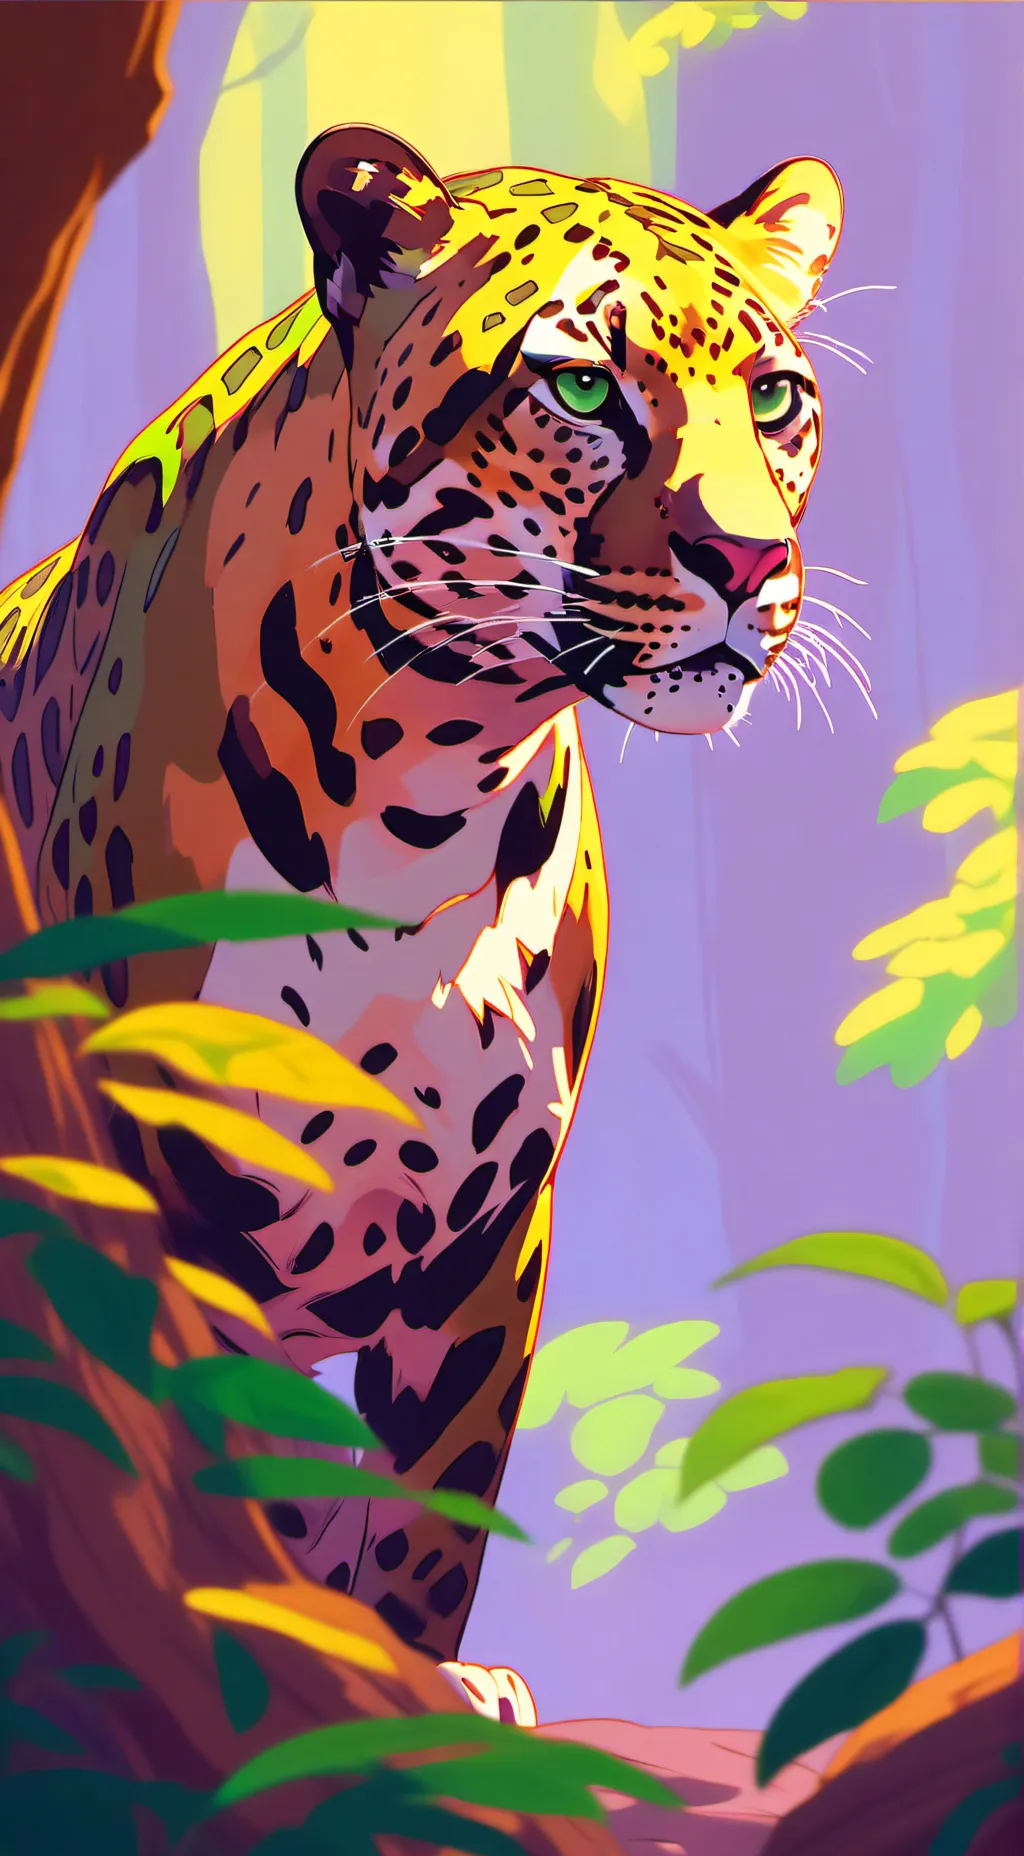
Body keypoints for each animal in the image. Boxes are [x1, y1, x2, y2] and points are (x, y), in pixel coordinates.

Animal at [0, 125, 843, 1724]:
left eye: (772, 398)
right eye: (580, 387)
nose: (751, 564)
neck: (425, 785)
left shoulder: (491, 1226)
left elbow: (432, 1505)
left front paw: (429, 1681)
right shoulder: (170, 1189)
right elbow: (219, 1463)